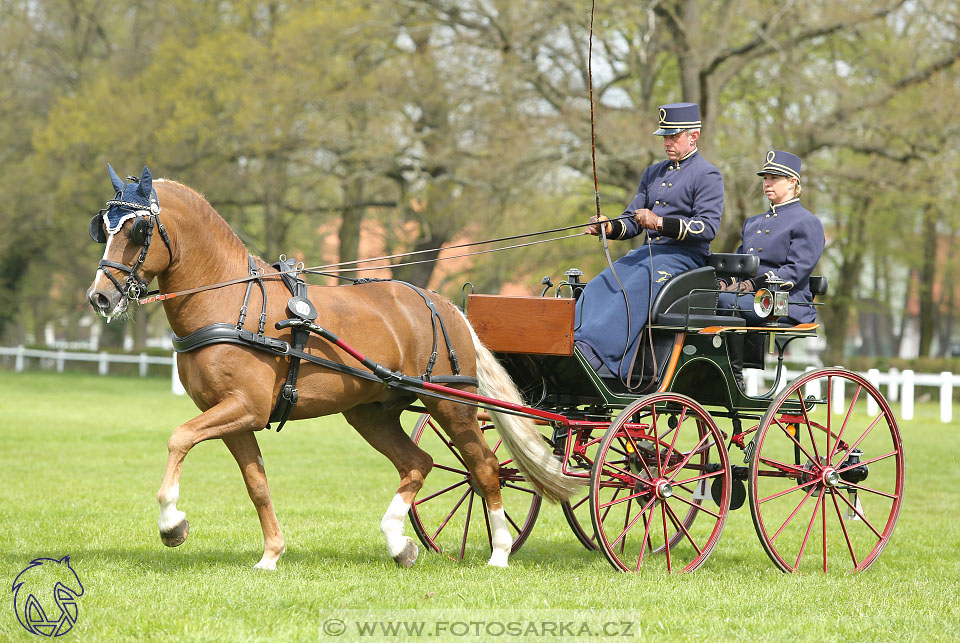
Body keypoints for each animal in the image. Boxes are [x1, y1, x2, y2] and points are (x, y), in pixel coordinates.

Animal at [86, 166, 576, 568]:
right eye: (103, 229)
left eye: (139, 230)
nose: (99, 297)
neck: (231, 301)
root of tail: (442, 303)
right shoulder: (234, 417)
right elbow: (256, 484)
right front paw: (271, 555)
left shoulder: (244, 407)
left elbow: (179, 438)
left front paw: (172, 524)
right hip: (370, 412)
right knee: (418, 463)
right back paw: (398, 543)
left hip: (450, 405)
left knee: (485, 468)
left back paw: (499, 551)